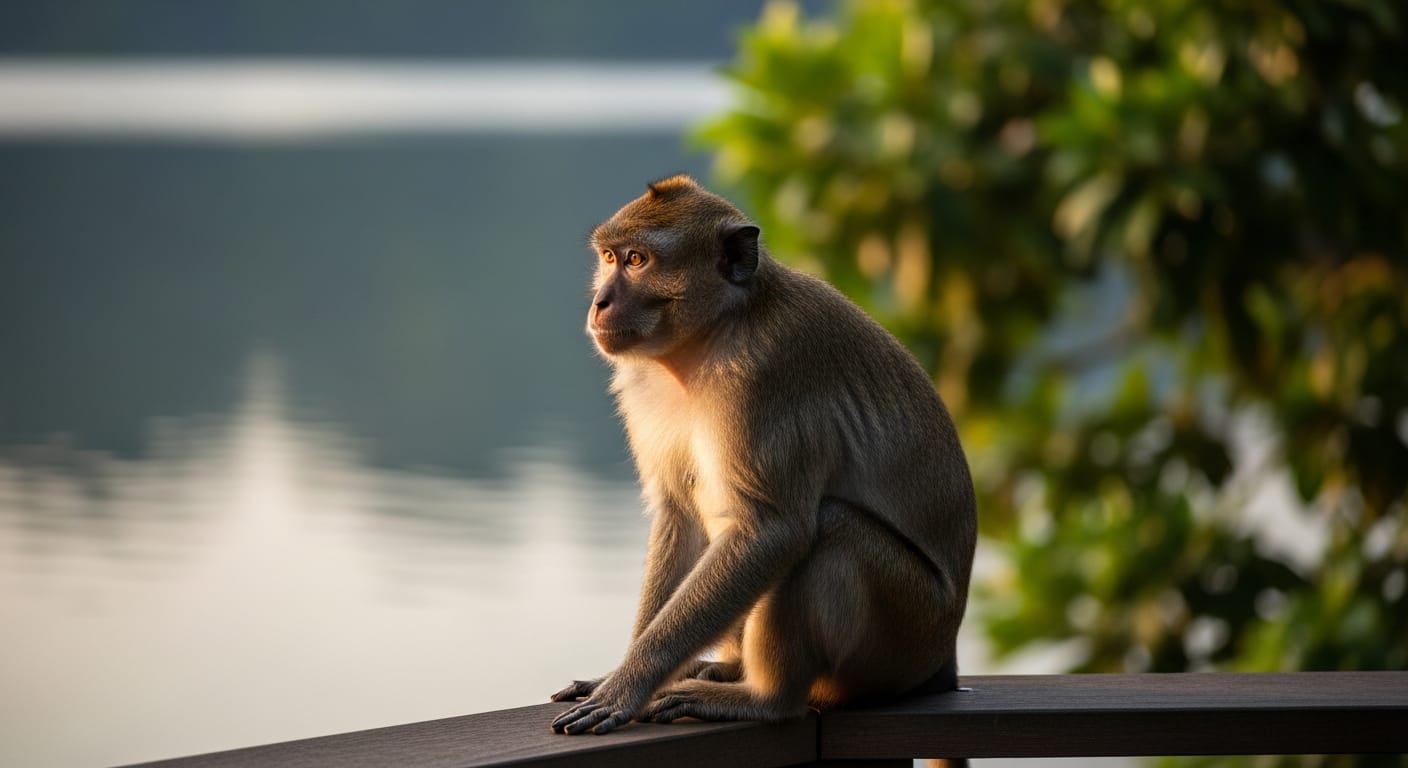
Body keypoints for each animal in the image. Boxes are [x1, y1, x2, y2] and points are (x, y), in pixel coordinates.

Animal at [550, 175, 977, 738]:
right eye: (608, 257)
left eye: (637, 260)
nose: (599, 302)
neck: (712, 336)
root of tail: (942, 660)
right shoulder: (641, 387)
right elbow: (680, 516)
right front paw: (616, 675)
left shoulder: (767, 379)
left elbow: (772, 530)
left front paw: (627, 686)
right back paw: (726, 669)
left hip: (906, 634)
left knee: (830, 530)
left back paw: (764, 698)